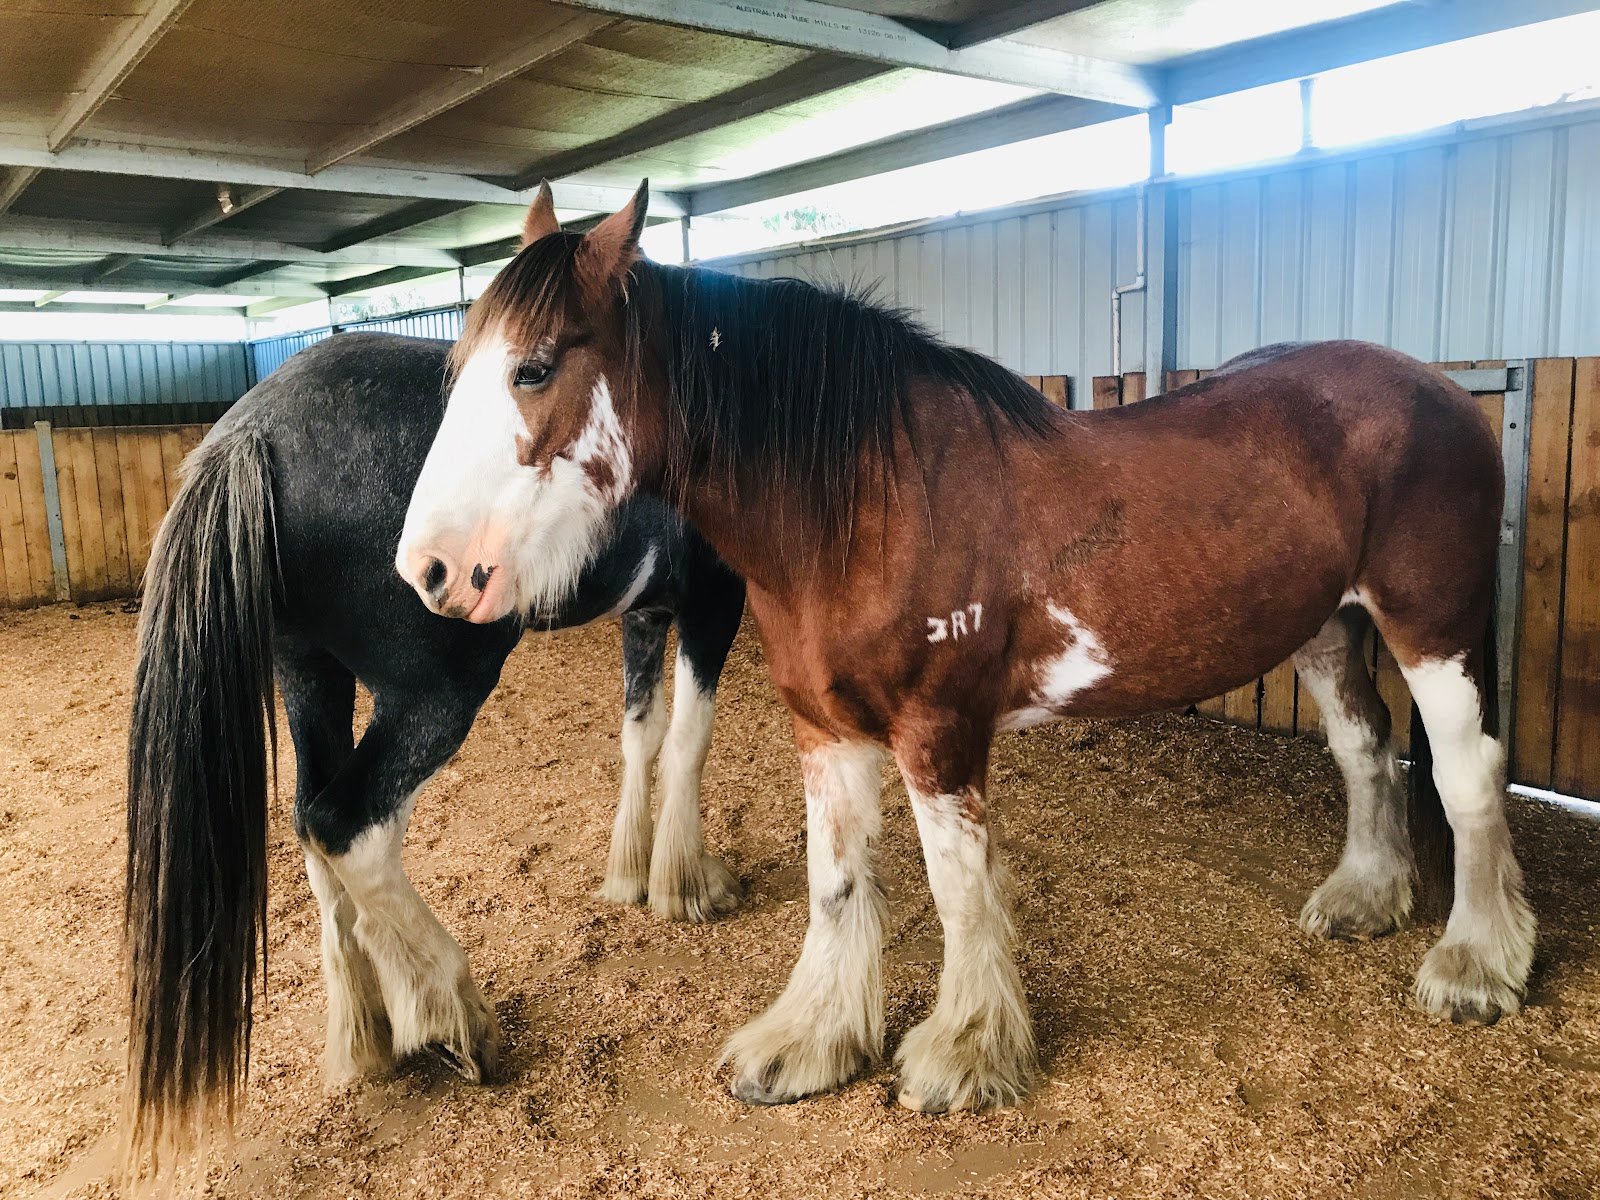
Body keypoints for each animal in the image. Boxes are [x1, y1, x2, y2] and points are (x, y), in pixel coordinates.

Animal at [123, 332, 745, 1164]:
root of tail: (252, 429)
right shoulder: (715, 599)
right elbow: (688, 741)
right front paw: (686, 884)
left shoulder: (646, 608)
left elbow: (639, 734)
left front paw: (632, 871)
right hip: (433, 695)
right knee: (347, 826)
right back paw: (455, 1018)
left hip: (307, 673)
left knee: (309, 825)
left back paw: (368, 1033)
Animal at [396, 182, 1535, 1116]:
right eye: (455, 370)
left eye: (535, 366)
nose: (430, 571)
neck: (866, 497)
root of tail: (1442, 391)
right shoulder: (824, 728)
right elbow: (837, 881)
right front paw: (811, 1044)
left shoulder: (938, 730)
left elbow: (958, 886)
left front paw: (965, 1052)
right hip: (1329, 626)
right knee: (1365, 750)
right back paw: (1365, 900)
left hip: (1428, 627)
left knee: (1468, 775)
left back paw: (1476, 965)